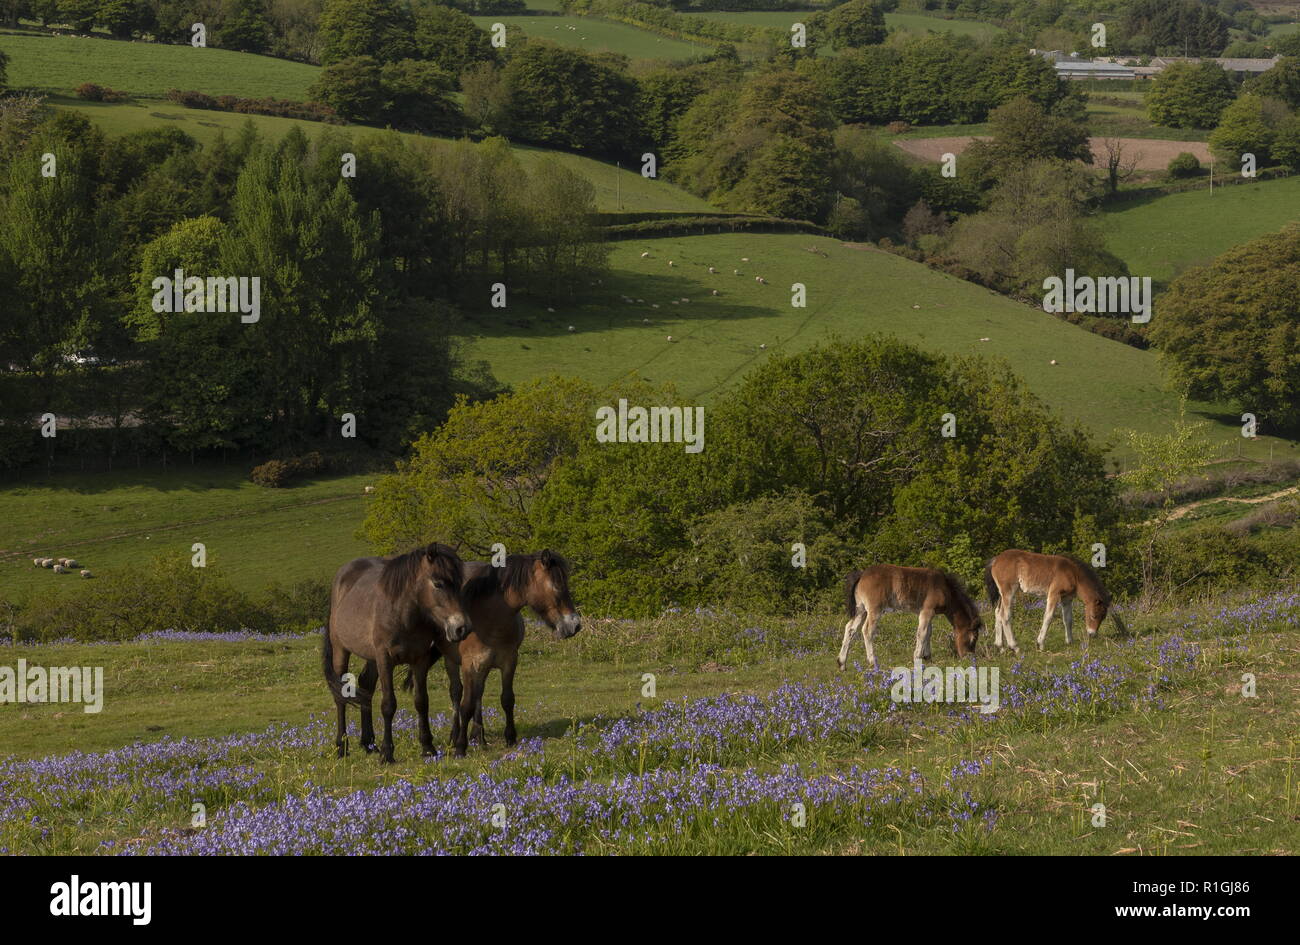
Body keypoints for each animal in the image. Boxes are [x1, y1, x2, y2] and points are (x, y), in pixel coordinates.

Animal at [325, 543, 473, 764]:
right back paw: (342, 746)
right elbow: (388, 704)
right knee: (341, 695)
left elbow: (421, 701)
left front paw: (427, 747)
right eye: (438, 583)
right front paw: (387, 753)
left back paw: (369, 744)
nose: (461, 628)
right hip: (341, 650)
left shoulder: (420, 659)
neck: (403, 614)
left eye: (459, 584)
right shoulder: (385, 659)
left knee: (366, 684)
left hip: (371, 657)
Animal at [837, 561, 977, 670]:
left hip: (861, 610)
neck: (944, 588)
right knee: (867, 631)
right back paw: (873, 662)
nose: (969, 659)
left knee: (850, 629)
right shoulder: (927, 611)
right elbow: (922, 633)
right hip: (874, 610)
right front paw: (917, 658)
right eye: (972, 640)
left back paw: (842, 663)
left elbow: (928, 632)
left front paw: (928, 657)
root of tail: (862, 575)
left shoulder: (927, 613)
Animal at [977, 551, 1123, 655]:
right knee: (1005, 616)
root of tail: (995, 560)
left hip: (1002, 594)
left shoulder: (1066, 598)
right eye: (1093, 616)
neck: (1073, 574)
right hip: (1009, 591)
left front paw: (1069, 642)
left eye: (1103, 618)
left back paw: (1000, 647)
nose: (1092, 634)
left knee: (997, 613)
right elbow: (1048, 617)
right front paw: (1040, 644)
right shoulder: (1054, 594)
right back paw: (1015, 647)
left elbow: (1068, 619)